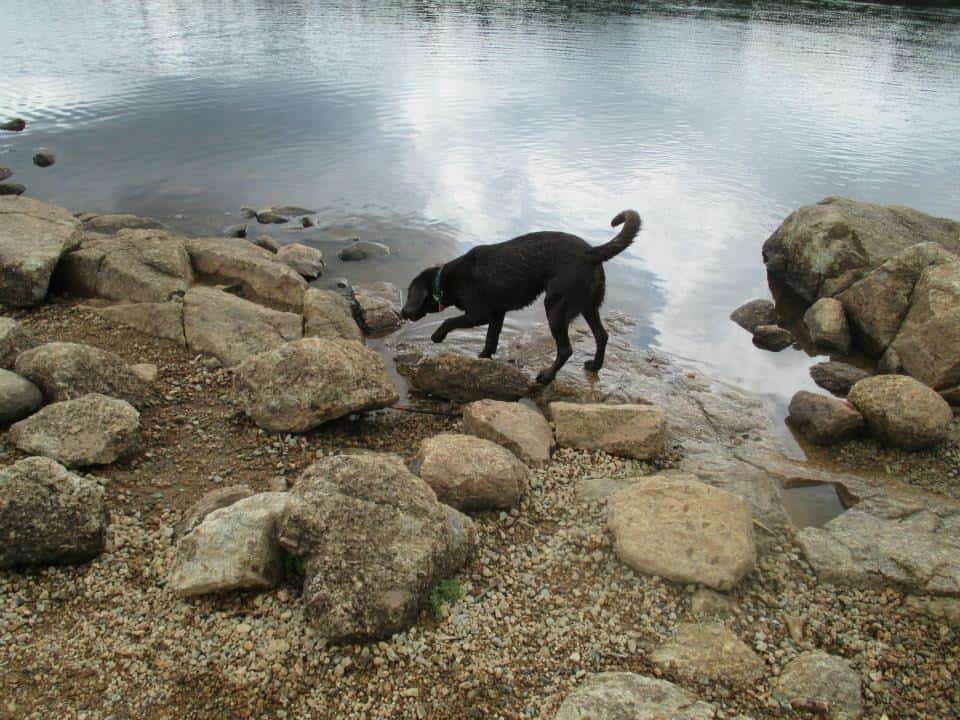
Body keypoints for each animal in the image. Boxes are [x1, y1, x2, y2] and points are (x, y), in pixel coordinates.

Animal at [402, 210, 640, 386]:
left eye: (410, 293)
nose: (403, 312)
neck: (445, 280)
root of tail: (592, 252)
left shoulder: (479, 315)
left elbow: (449, 320)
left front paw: (437, 336)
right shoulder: (497, 314)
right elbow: (491, 339)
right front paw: (484, 358)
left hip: (555, 307)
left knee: (566, 349)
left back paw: (547, 377)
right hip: (588, 305)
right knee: (602, 335)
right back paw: (595, 366)